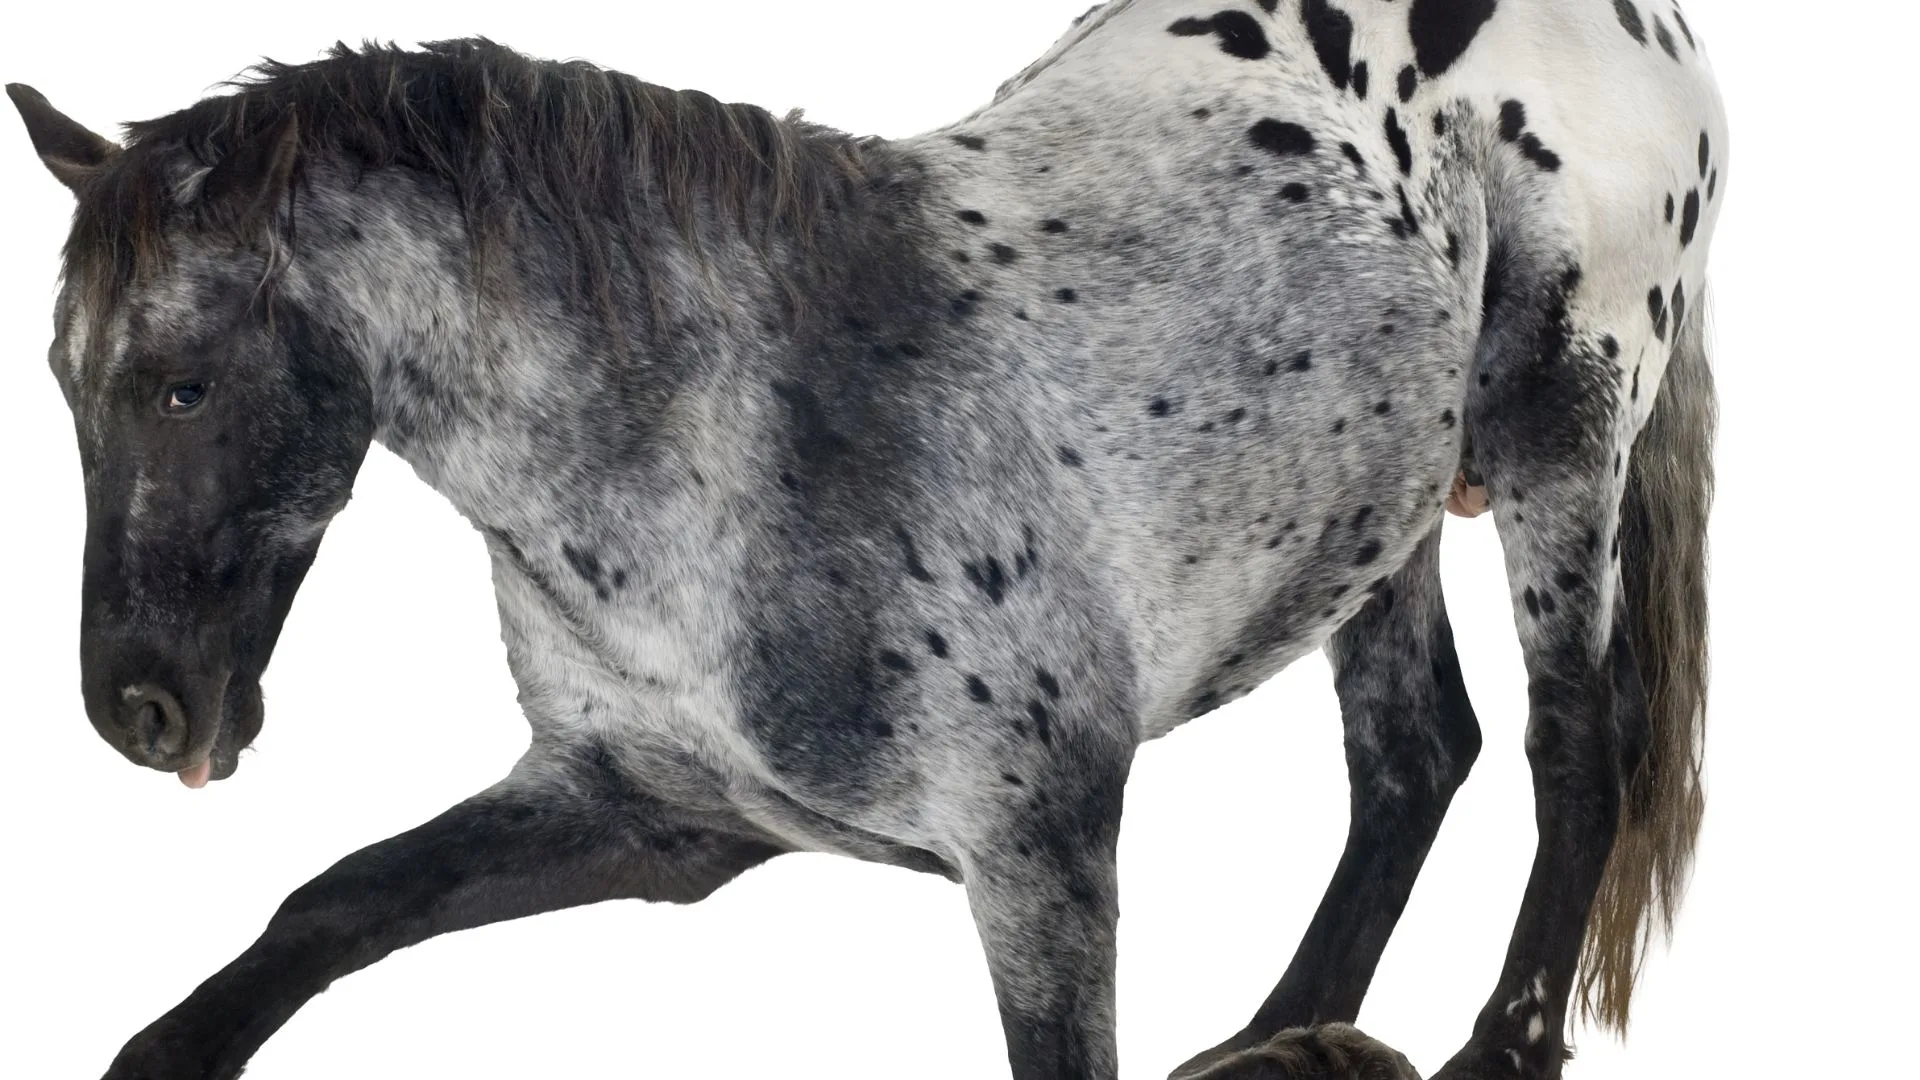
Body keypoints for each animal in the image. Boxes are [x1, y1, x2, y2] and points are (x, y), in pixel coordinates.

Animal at [7, 0, 1721, 1075]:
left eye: (181, 381)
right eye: (64, 383)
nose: (140, 709)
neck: (734, 436)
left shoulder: (1038, 856)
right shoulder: (652, 820)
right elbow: (330, 906)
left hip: (1559, 430)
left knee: (1578, 742)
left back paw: (1500, 1046)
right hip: (1379, 512)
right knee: (1415, 755)